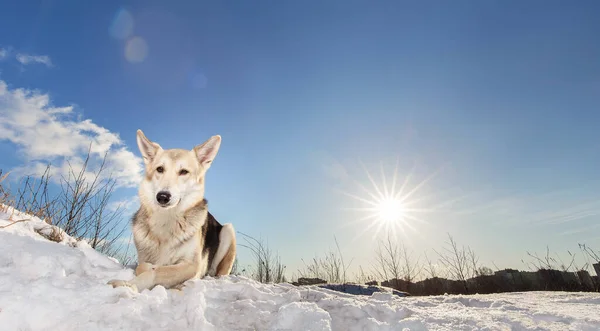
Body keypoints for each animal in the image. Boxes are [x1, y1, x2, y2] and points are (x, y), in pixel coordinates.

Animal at [109, 130, 236, 294]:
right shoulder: (144, 259)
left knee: (217, 272)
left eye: (183, 172)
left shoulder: (192, 265)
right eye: (160, 169)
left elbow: (157, 271)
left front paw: (128, 285)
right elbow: (144, 266)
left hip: (228, 230)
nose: (162, 196)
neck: (167, 220)